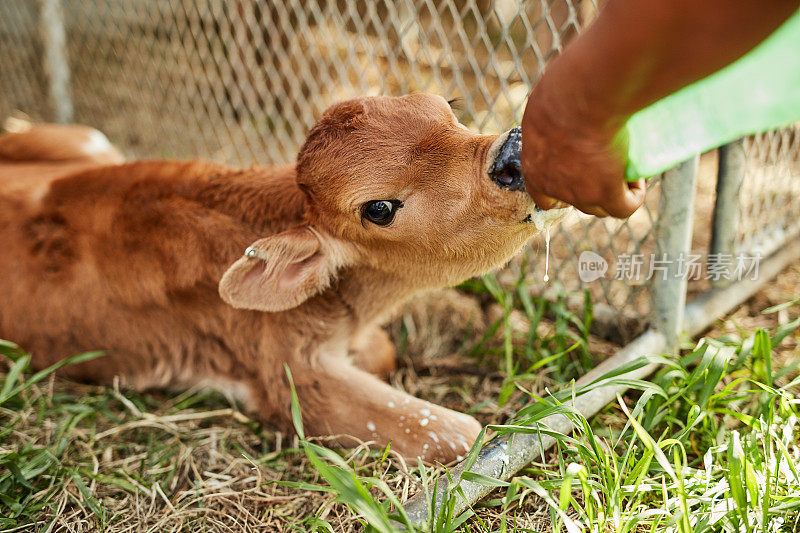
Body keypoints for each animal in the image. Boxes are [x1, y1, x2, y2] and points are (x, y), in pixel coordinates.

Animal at [0, 95, 564, 462]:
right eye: (379, 209)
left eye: (450, 108)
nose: (514, 154)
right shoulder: (291, 379)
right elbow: (457, 434)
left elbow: (384, 351)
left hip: (88, 140)